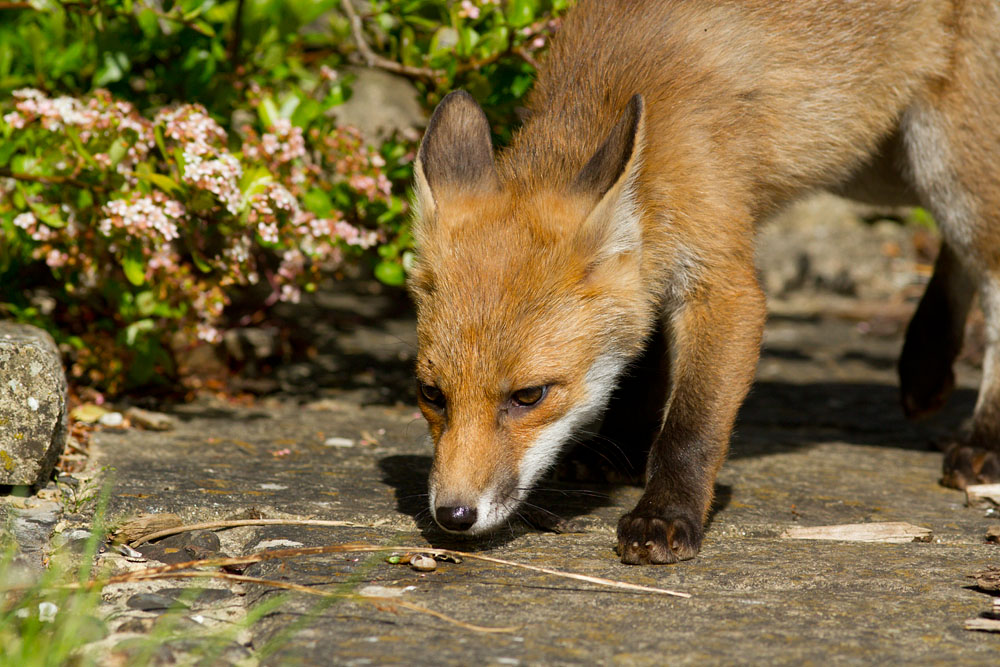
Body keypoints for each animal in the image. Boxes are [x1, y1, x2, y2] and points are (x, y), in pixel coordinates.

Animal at [407, 0, 1000, 564]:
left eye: (529, 395)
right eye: (431, 394)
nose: (454, 515)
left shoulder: (725, 286)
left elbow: (692, 427)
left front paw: (665, 514)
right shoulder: (654, 268)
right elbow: (644, 353)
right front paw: (621, 443)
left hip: (937, 157)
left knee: (987, 263)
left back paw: (983, 437)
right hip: (876, 161)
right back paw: (926, 364)